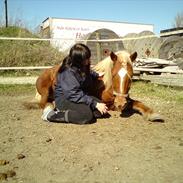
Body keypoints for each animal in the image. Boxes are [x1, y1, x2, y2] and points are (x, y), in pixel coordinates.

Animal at [35, 50, 164, 121]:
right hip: (45, 91)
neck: (107, 87)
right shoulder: (109, 104)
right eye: (113, 75)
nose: (120, 103)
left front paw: (152, 114)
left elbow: (138, 103)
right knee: (43, 103)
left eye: (131, 76)